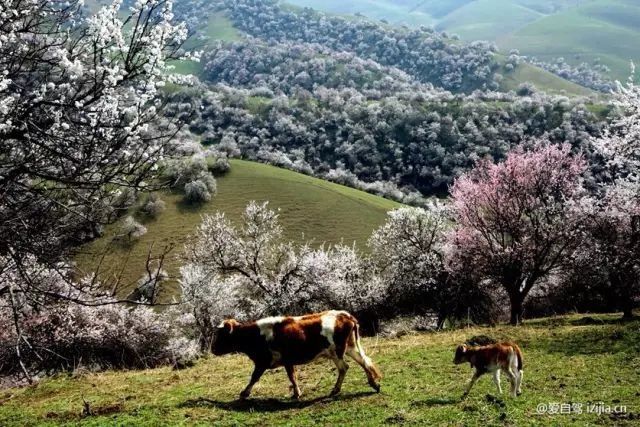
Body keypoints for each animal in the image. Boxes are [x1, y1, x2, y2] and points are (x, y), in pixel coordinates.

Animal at [212, 310, 382, 400]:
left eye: (221, 335)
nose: (212, 349)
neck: (255, 335)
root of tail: (344, 315)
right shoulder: (288, 361)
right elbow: (292, 376)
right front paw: (297, 393)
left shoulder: (262, 362)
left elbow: (254, 377)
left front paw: (244, 393)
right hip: (350, 348)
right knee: (364, 361)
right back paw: (374, 384)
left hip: (336, 352)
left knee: (344, 367)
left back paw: (336, 390)